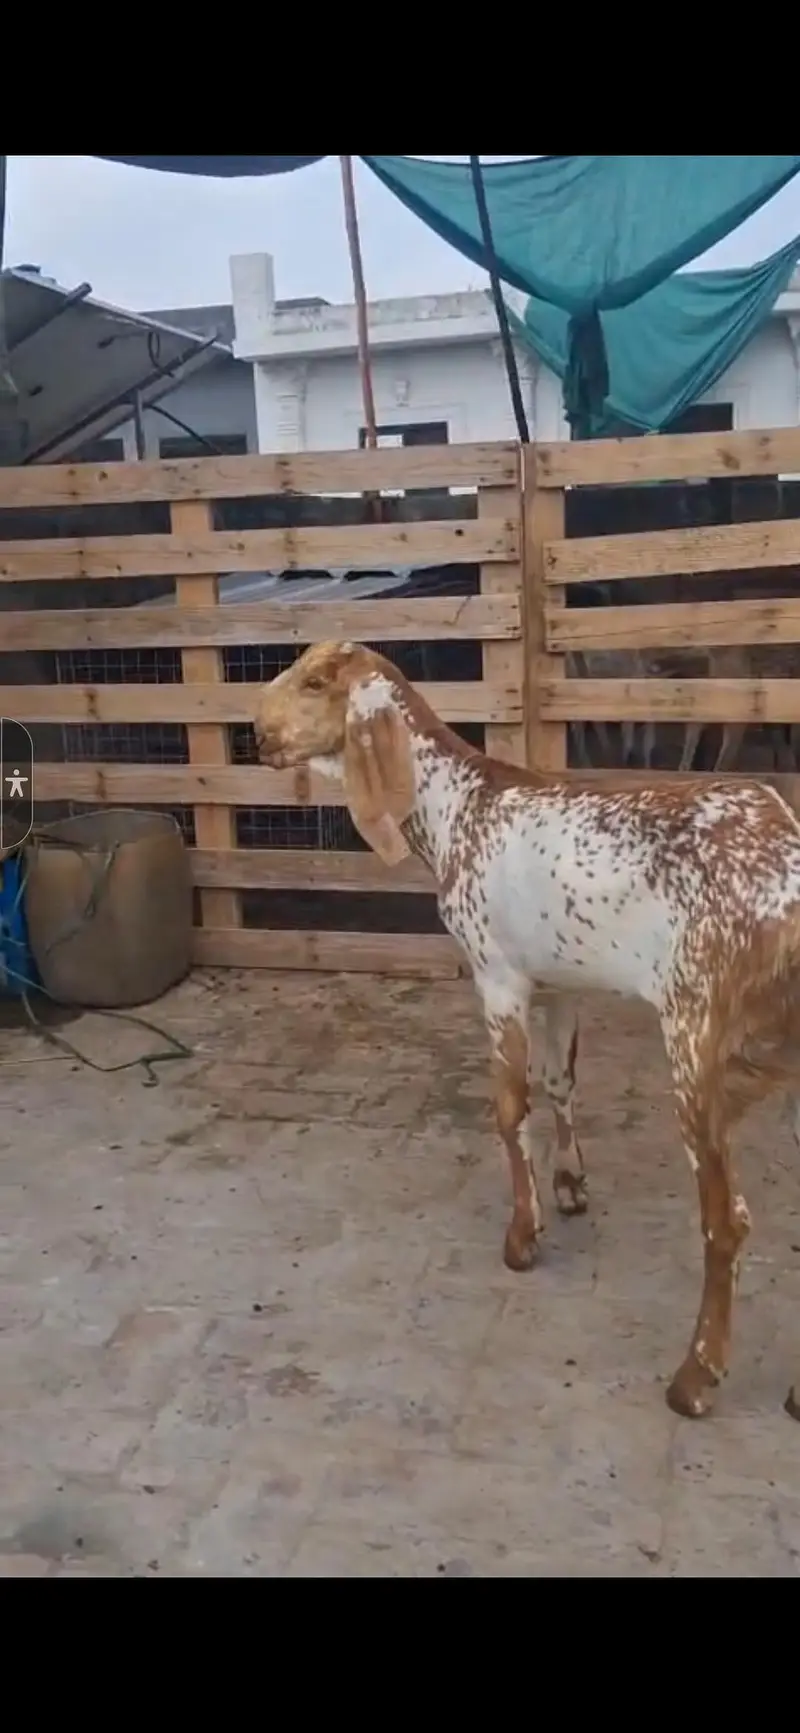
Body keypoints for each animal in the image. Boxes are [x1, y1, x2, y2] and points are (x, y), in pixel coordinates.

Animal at [255, 640, 800, 1423]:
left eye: (318, 681)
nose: (256, 731)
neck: (457, 807)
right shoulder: (559, 983)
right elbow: (560, 1079)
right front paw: (570, 1184)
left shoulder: (499, 977)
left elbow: (511, 1106)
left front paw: (523, 1235)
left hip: (696, 1032)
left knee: (726, 1219)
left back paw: (695, 1377)